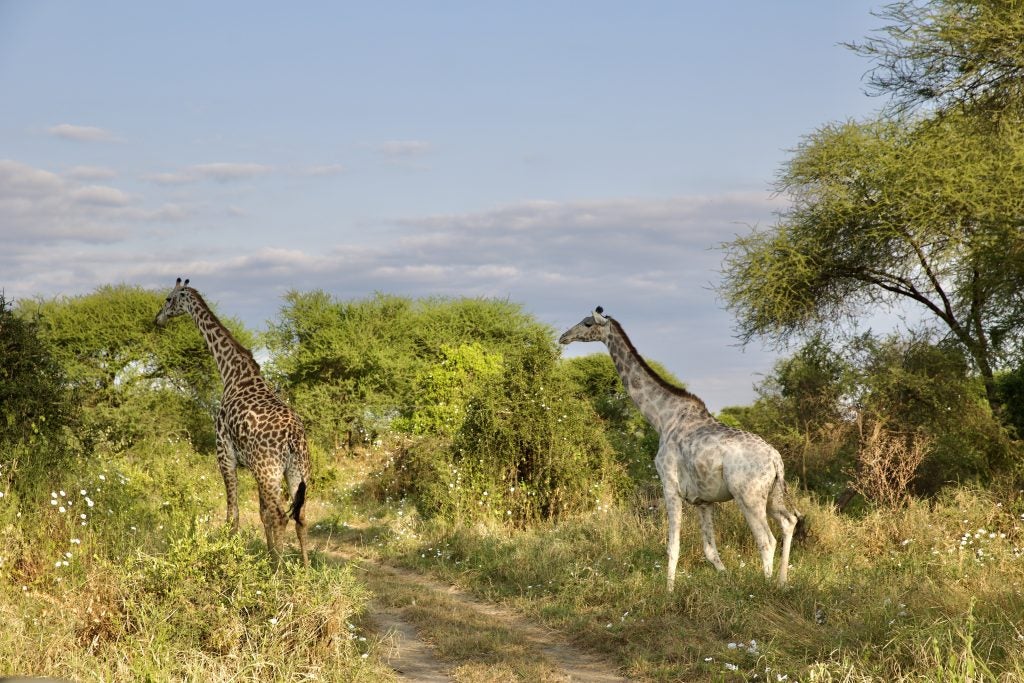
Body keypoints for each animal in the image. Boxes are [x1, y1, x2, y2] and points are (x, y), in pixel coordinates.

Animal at [155, 278, 310, 566]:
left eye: (168, 298)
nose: (157, 319)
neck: (231, 371)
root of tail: (293, 437)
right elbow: (261, 514)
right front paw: (266, 556)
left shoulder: (224, 454)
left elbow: (233, 515)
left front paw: (230, 559)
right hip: (298, 470)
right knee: (300, 516)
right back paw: (304, 570)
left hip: (269, 470)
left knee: (281, 516)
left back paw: (279, 572)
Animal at [559, 307, 801, 589]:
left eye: (587, 323)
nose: (563, 337)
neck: (662, 418)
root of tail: (776, 460)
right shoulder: (703, 500)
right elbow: (710, 549)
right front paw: (726, 582)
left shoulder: (669, 485)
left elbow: (672, 546)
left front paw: (669, 590)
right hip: (773, 493)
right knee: (789, 522)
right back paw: (782, 583)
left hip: (748, 495)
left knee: (766, 540)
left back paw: (766, 586)